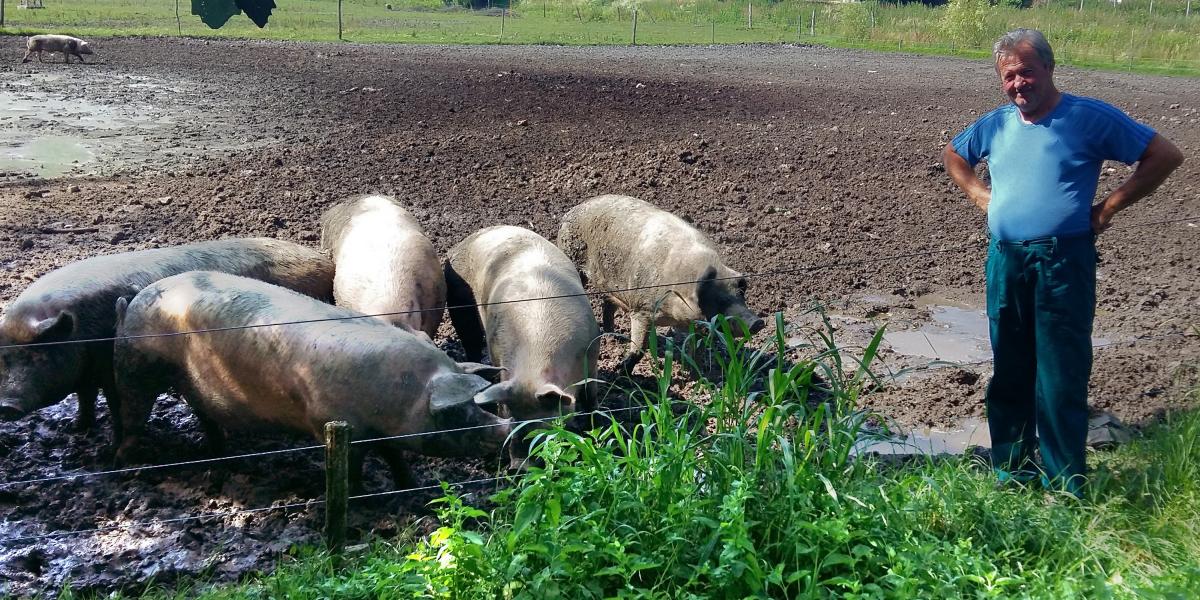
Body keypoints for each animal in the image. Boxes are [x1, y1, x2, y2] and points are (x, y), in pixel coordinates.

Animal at [113, 272, 520, 487]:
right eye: (454, 413)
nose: (508, 427)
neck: (400, 394)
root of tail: (132, 300)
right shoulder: (335, 425)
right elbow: (352, 470)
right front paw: (362, 496)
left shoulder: (381, 432)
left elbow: (395, 457)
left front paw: (410, 487)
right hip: (135, 365)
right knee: (132, 411)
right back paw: (126, 465)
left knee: (205, 415)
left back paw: (224, 458)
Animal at [556, 194, 763, 372]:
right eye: (717, 301)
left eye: (740, 294)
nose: (758, 322)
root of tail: (572, 210)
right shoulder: (641, 310)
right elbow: (639, 347)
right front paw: (620, 370)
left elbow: (696, 349)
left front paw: (697, 372)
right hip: (572, 256)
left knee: (607, 305)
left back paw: (615, 337)